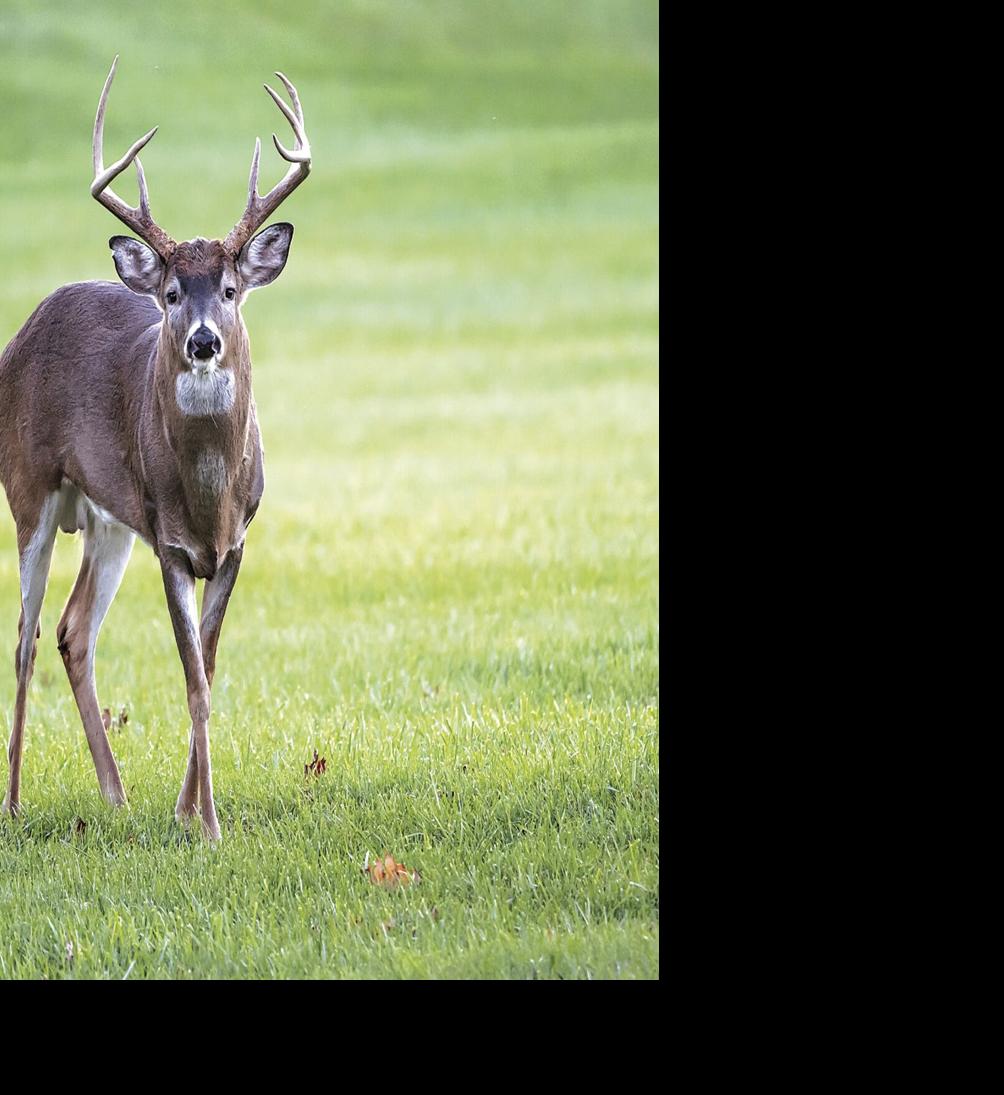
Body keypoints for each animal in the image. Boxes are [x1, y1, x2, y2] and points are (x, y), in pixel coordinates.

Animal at [0, 57, 311, 839]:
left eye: (229, 288)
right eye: (172, 292)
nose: (202, 341)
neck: (209, 498)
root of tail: (22, 331)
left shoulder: (235, 544)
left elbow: (210, 666)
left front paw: (184, 810)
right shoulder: (169, 542)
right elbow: (194, 682)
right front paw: (210, 826)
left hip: (108, 520)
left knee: (73, 631)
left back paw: (115, 795)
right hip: (29, 490)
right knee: (24, 637)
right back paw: (13, 800)